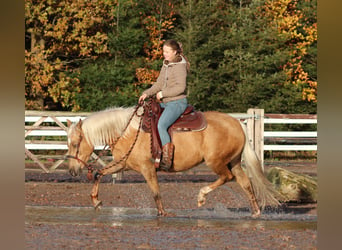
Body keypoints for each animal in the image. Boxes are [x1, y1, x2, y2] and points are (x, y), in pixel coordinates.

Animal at [65, 103, 282, 217]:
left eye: (75, 143)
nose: (72, 170)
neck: (127, 131)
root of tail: (237, 123)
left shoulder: (147, 168)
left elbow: (156, 192)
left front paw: (162, 214)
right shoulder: (122, 164)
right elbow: (99, 174)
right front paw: (96, 201)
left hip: (217, 162)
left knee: (227, 177)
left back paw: (202, 196)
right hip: (234, 161)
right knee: (245, 183)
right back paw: (255, 212)